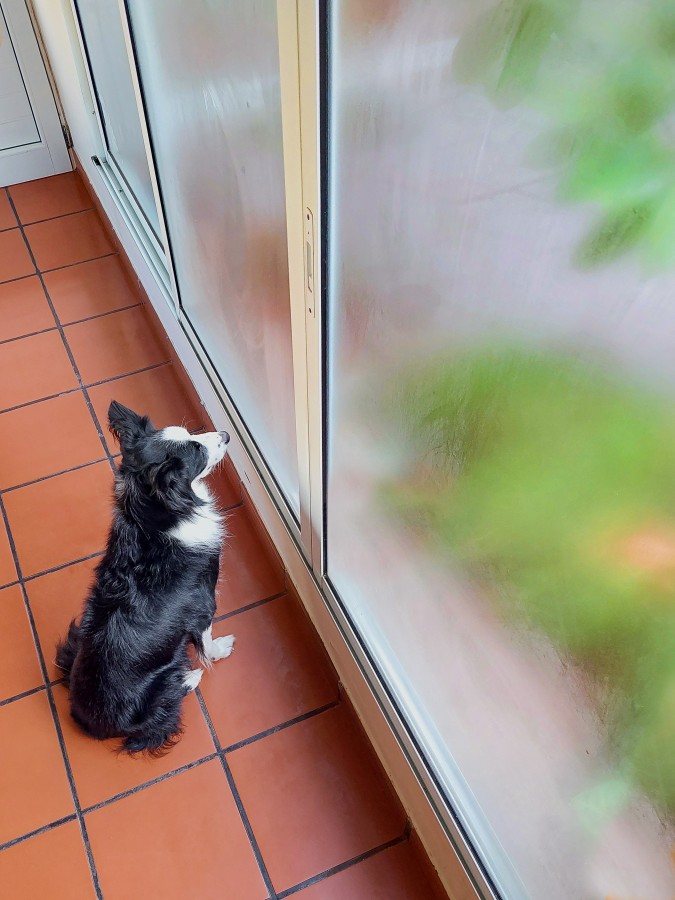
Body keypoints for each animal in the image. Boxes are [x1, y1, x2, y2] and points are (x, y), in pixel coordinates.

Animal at [56, 400, 235, 752]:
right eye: (197, 450)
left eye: (191, 435)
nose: (225, 434)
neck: (155, 520)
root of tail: (87, 723)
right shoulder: (204, 603)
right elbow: (207, 643)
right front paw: (221, 650)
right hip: (165, 677)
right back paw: (189, 678)